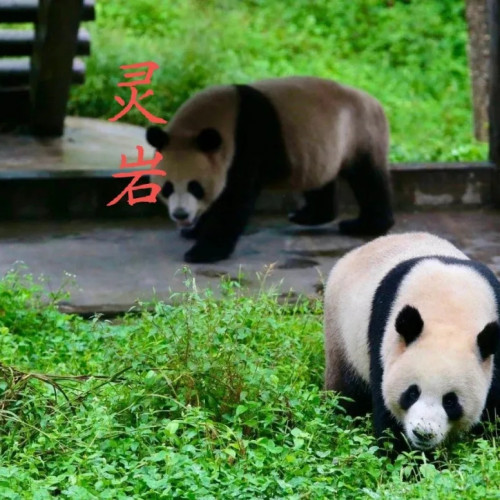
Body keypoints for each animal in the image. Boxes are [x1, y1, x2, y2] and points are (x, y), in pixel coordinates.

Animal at [146, 76, 394, 264]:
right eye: (167, 188)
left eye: (195, 187)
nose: (180, 215)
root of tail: (374, 102)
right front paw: (194, 231)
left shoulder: (246, 147)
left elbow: (234, 200)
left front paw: (203, 251)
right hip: (322, 144)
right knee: (320, 178)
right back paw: (308, 215)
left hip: (360, 133)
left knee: (368, 179)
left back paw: (365, 225)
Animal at [324, 232, 500, 452]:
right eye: (412, 393)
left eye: (450, 401)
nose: (423, 434)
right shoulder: (384, 342)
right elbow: (387, 415)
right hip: (342, 334)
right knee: (345, 391)